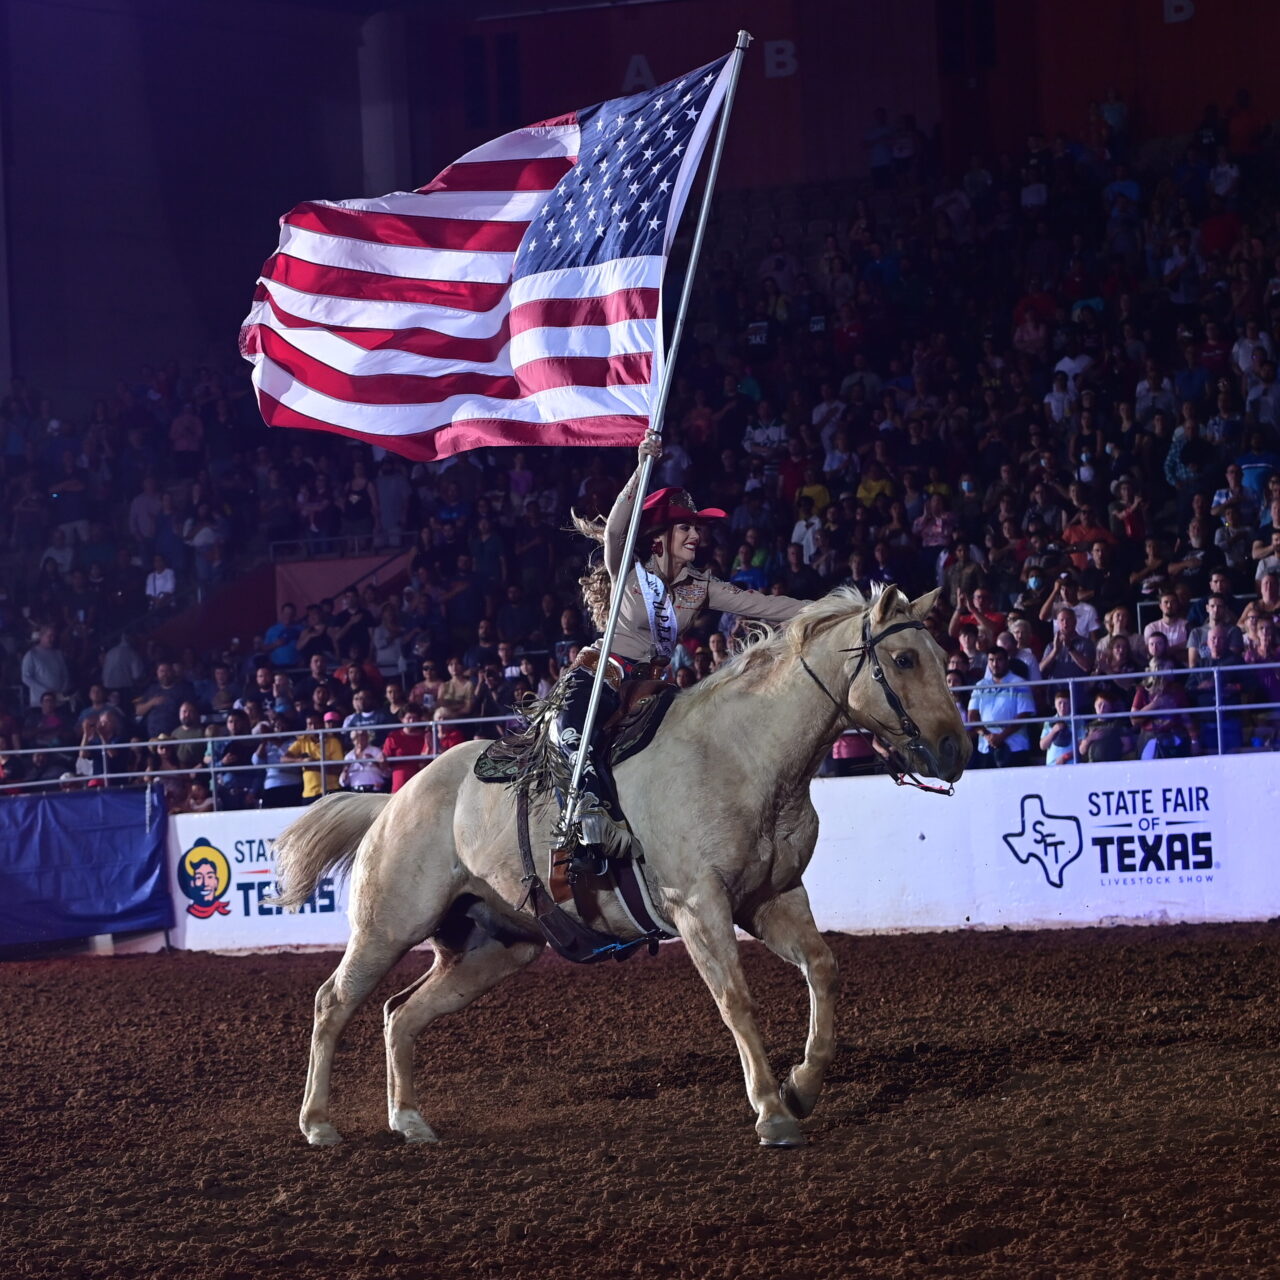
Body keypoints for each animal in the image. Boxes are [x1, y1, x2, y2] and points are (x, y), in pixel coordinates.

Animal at [272, 588, 967, 1152]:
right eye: (904, 659)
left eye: (940, 654)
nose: (955, 748)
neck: (740, 754)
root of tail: (395, 799)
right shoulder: (697, 905)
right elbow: (736, 1000)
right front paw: (773, 1114)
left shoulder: (773, 897)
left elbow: (822, 969)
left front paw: (802, 1086)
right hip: (388, 926)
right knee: (333, 1002)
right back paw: (318, 1124)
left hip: (492, 948)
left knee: (401, 1015)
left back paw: (410, 1120)